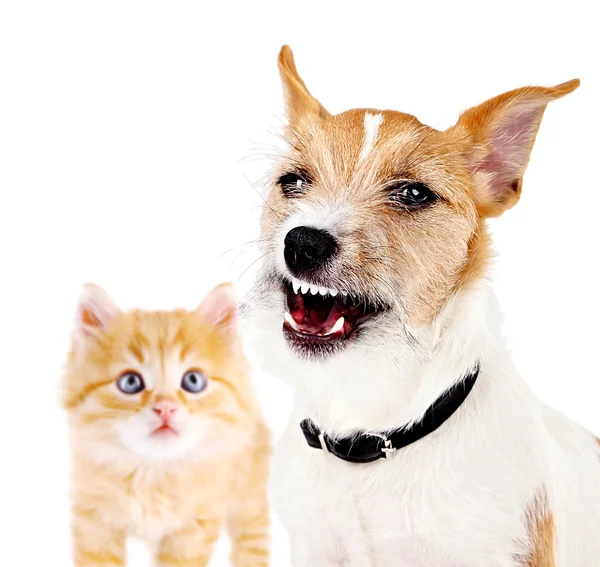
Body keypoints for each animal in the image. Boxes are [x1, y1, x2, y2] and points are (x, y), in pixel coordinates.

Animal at [62, 284, 270, 567]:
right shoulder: (92, 519)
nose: (165, 408)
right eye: (130, 382)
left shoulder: (196, 527)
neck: (153, 473)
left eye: (193, 381)